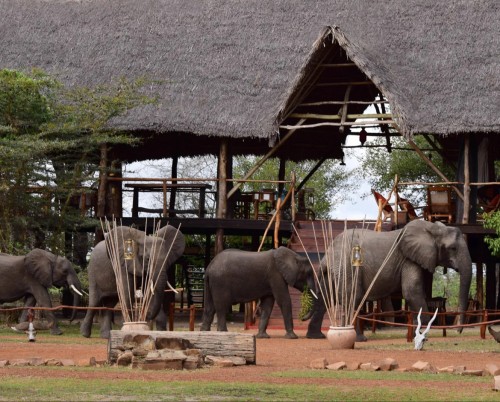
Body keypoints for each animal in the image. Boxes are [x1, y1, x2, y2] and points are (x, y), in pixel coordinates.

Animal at [304, 220, 472, 342]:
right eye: (452, 248)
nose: (458, 331)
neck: (432, 228)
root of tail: (327, 254)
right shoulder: (408, 258)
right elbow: (411, 290)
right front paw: (422, 334)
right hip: (347, 267)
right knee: (354, 297)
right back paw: (360, 339)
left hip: (334, 271)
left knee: (324, 299)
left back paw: (316, 337)